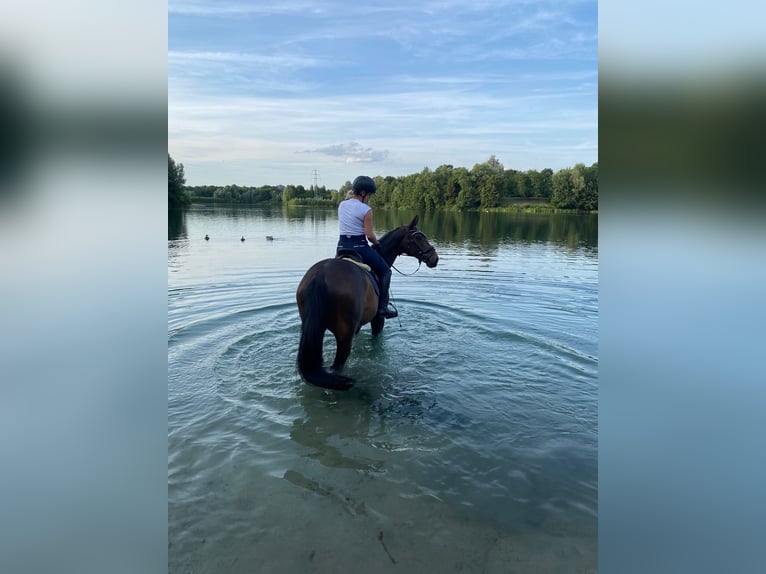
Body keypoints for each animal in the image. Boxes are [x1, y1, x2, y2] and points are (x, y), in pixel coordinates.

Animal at [296, 216, 438, 392]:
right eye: (418, 237)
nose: (435, 258)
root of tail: (321, 276)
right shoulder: (378, 320)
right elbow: (376, 342)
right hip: (344, 337)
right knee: (337, 366)